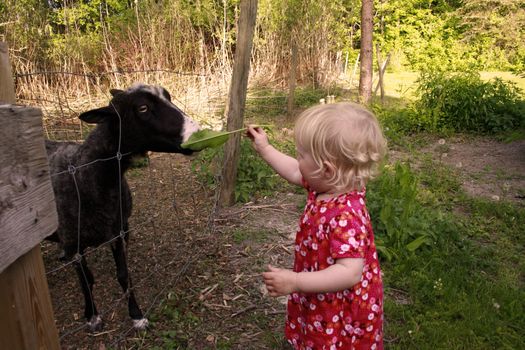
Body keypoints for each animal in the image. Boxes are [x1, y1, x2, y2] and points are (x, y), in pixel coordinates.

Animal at [45, 85, 200, 330]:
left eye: (168, 97)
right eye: (142, 108)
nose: (197, 133)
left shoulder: (118, 231)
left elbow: (123, 274)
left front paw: (136, 316)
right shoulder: (74, 243)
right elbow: (87, 280)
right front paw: (93, 316)